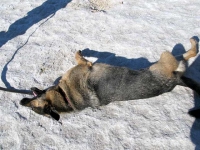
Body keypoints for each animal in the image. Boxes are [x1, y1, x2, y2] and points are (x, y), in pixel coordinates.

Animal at [20, 38, 200, 121]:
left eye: (32, 106)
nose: (21, 101)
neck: (64, 96)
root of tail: (175, 81)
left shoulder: (85, 65)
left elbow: (79, 57)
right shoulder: (85, 65)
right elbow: (80, 58)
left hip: (166, 58)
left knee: (189, 55)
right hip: (166, 58)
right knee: (189, 54)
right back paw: (193, 42)